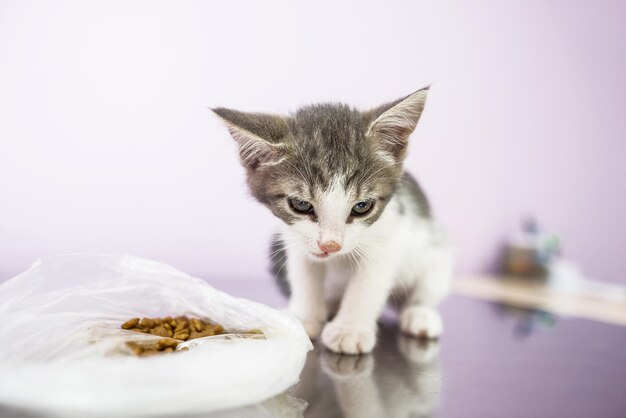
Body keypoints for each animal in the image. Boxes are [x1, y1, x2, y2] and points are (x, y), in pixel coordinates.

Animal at [213, 87, 448, 352]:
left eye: (362, 206)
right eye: (301, 204)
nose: (330, 245)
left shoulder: (391, 234)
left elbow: (369, 281)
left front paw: (350, 330)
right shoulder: (294, 238)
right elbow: (305, 273)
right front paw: (305, 318)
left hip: (438, 256)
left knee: (426, 289)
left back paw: (420, 315)